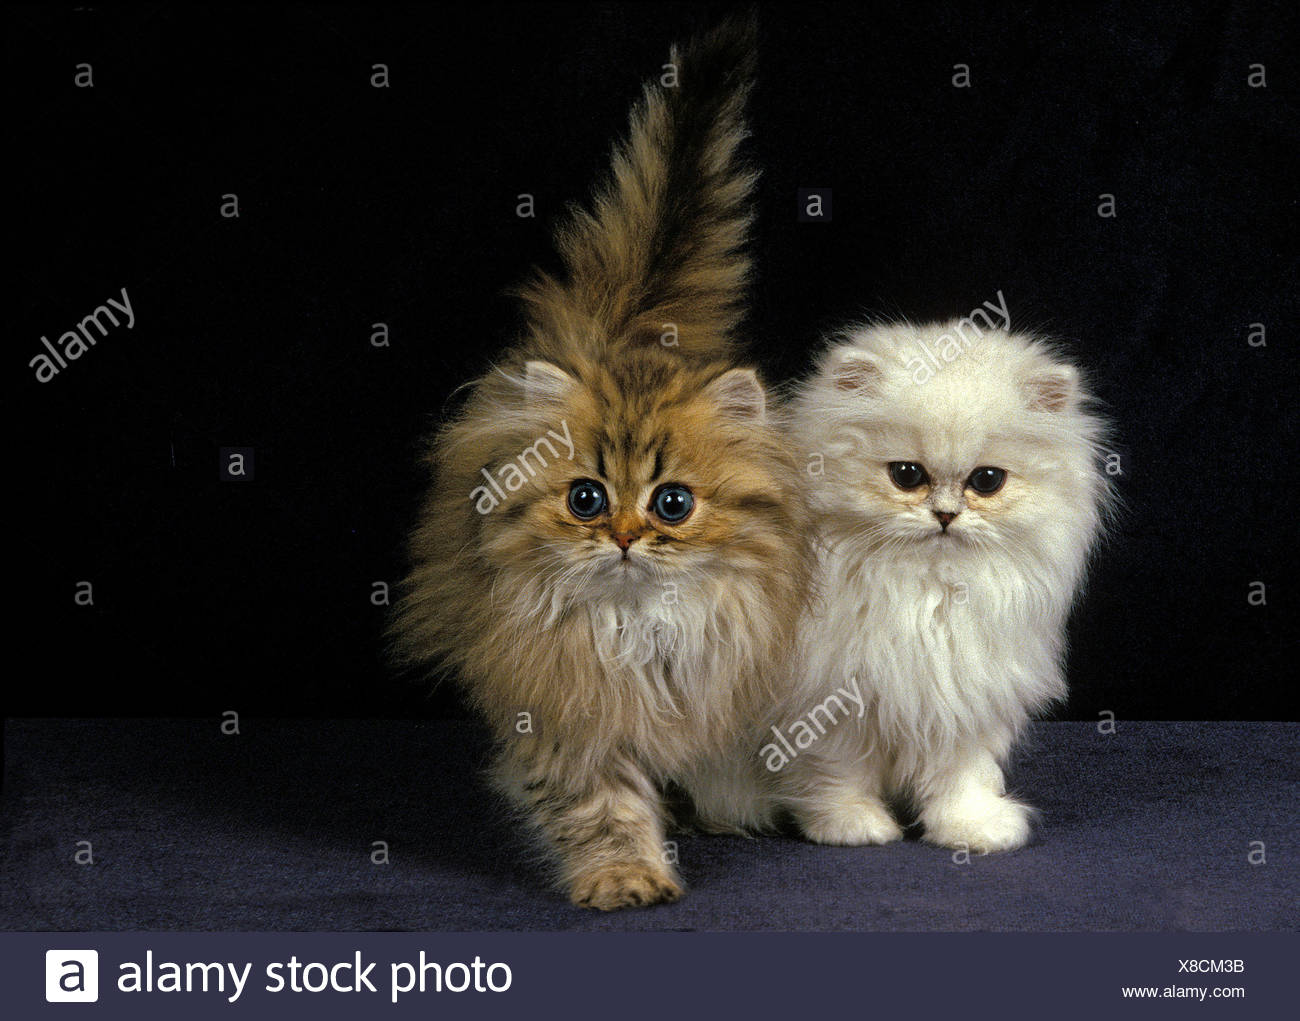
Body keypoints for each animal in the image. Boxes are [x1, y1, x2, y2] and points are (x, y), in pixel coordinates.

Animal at [387, 17, 811, 910]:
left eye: (673, 503)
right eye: (585, 497)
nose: (620, 536)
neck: (637, 628)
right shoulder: (564, 709)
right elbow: (600, 804)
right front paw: (625, 876)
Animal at [774, 322, 1112, 848]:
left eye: (987, 480)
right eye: (907, 475)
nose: (946, 515)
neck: (931, 593)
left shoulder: (962, 701)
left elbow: (960, 779)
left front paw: (973, 829)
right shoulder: (829, 701)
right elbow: (840, 773)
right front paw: (852, 825)